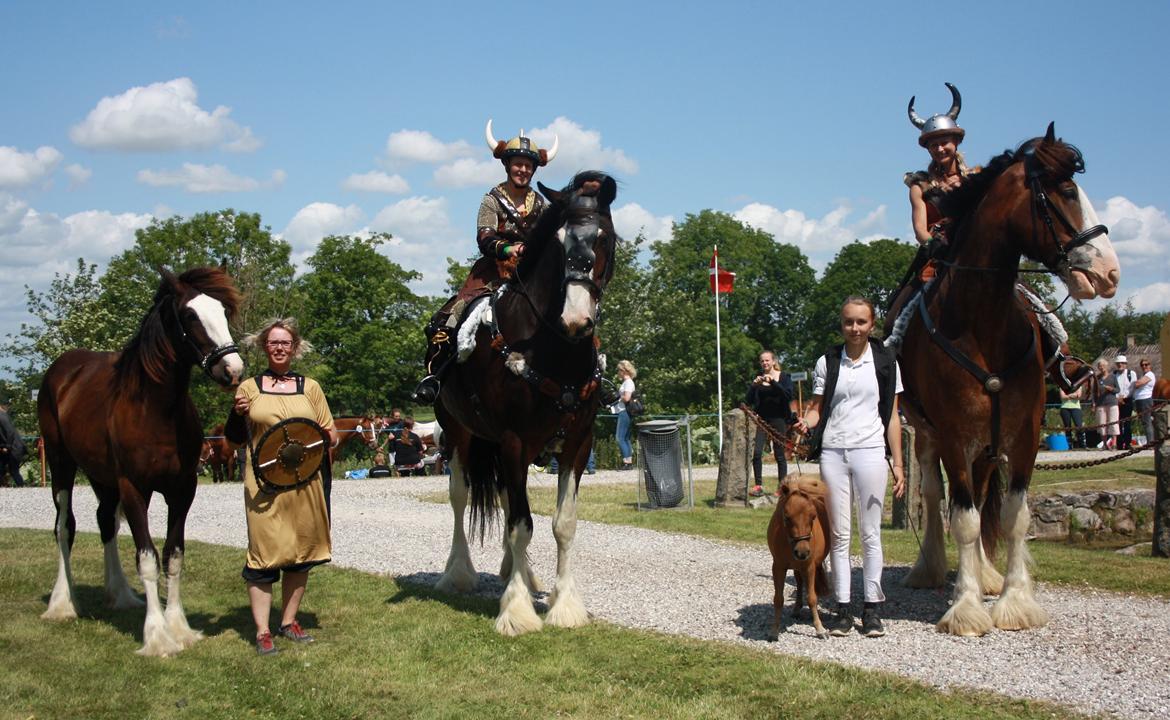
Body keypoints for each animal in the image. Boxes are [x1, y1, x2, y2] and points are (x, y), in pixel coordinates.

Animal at [37, 268, 243, 655]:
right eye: (190, 316)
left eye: (223, 311)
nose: (232, 369)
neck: (157, 410)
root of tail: (63, 369)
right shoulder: (134, 489)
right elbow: (147, 558)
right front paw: (158, 637)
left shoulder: (182, 490)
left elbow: (173, 554)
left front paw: (179, 628)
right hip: (61, 465)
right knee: (64, 527)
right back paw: (63, 603)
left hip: (102, 478)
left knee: (105, 522)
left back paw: (119, 595)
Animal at [435, 170, 622, 636]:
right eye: (559, 243)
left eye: (604, 237)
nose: (576, 320)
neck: (553, 348)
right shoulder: (514, 440)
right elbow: (522, 525)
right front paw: (517, 610)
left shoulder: (577, 442)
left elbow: (562, 523)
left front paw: (564, 604)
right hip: (458, 433)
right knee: (461, 497)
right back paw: (458, 573)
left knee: (504, 499)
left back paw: (514, 572)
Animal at [898, 125, 1118, 636]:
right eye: (1066, 191)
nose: (1109, 272)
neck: (983, 324)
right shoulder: (954, 435)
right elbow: (961, 517)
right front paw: (966, 608)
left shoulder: (1024, 434)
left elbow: (1014, 517)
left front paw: (1014, 600)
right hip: (928, 434)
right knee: (936, 496)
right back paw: (931, 569)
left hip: (986, 444)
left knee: (981, 499)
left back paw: (985, 573)